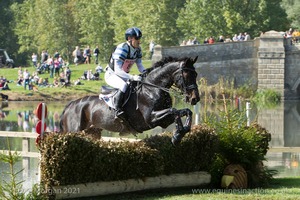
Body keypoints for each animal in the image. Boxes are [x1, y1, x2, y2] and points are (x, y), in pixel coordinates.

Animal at [59, 56, 200, 145]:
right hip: (74, 131)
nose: (195, 98)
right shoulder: (151, 119)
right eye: (186, 75)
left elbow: (185, 111)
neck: (153, 88)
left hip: (93, 132)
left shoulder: (163, 121)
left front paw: (180, 133)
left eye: (196, 74)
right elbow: (174, 110)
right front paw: (177, 135)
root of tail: (69, 106)